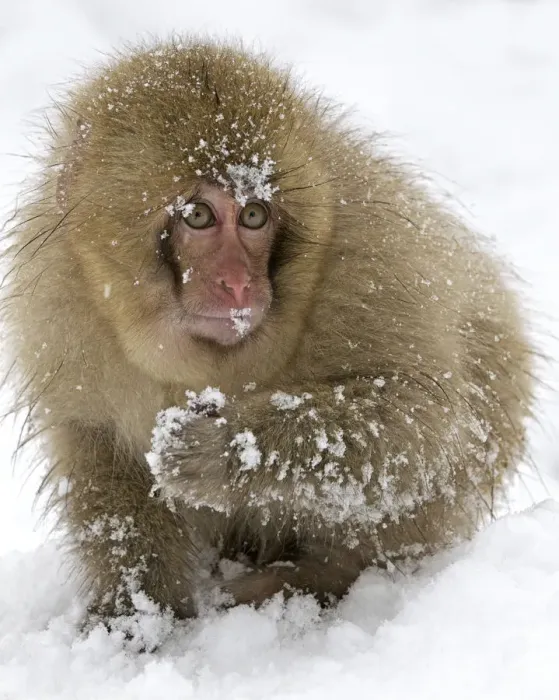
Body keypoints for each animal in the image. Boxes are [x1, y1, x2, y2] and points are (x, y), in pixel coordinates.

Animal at [1, 37, 534, 622]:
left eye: (255, 215)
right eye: (198, 215)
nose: (238, 284)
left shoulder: (371, 260)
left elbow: (421, 419)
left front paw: (221, 449)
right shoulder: (60, 302)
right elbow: (99, 448)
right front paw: (137, 615)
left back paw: (311, 579)